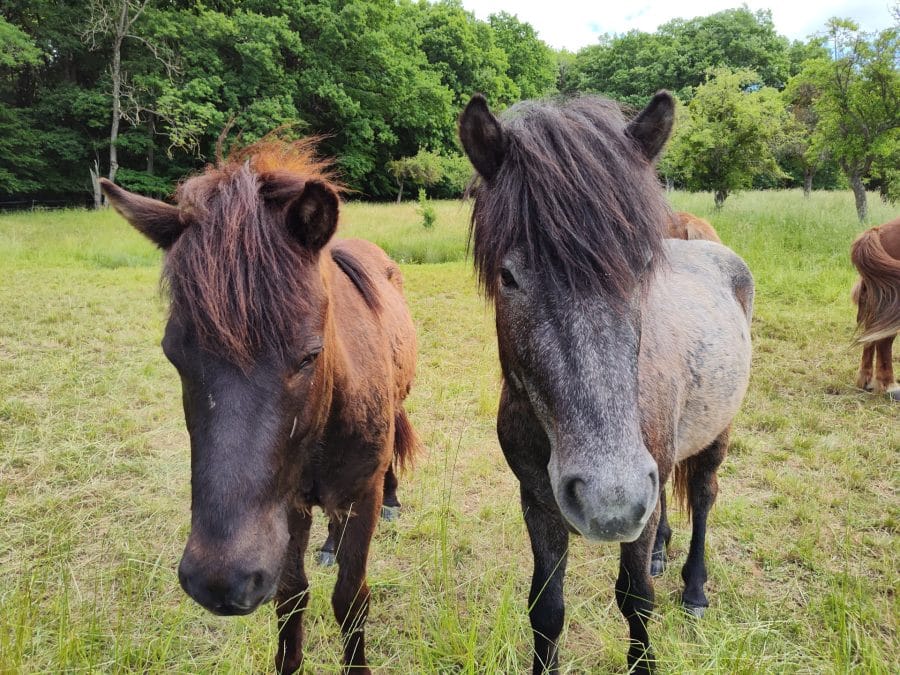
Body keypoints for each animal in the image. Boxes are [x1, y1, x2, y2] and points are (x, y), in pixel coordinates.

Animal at [98, 139, 422, 675]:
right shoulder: (287, 508)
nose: (219, 581)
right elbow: (291, 598)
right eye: (172, 354)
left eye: (310, 355)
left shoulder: (360, 498)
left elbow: (351, 600)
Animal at [460, 92, 756, 672]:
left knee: (704, 496)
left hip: (716, 435)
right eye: (508, 276)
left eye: (641, 267)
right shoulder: (538, 501)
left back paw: (694, 588)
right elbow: (546, 608)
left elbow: (636, 599)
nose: (611, 500)